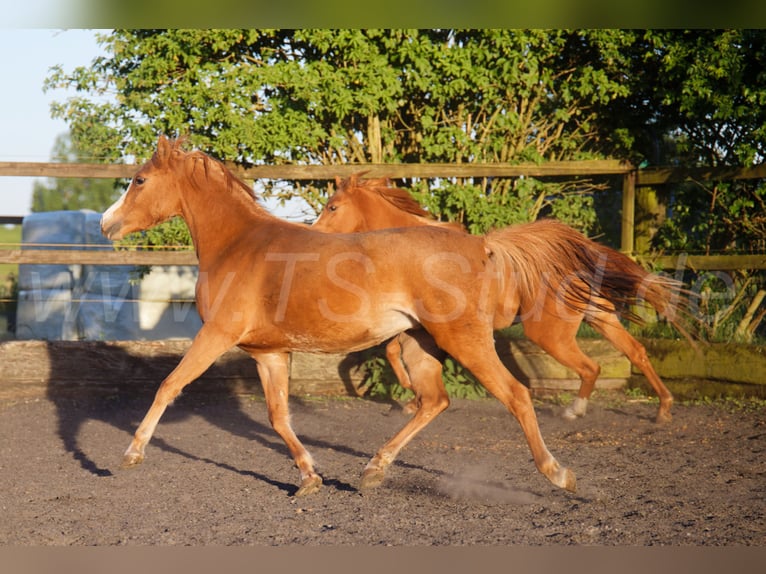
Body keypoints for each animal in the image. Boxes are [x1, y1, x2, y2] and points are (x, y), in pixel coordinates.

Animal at [101, 135, 581, 496]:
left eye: (140, 179)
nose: (107, 223)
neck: (239, 245)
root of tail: (480, 244)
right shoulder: (269, 353)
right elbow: (278, 416)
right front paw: (309, 478)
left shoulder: (217, 335)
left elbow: (169, 385)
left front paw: (130, 455)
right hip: (419, 343)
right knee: (434, 401)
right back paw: (373, 470)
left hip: (463, 339)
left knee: (516, 394)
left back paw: (558, 473)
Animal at [313, 173, 692, 423]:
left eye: (333, 206)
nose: (313, 235)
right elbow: (390, 350)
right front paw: (410, 395)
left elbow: (389, 351)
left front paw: (409, 395)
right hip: (599, 315)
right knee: (635, 352)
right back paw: (664, 408)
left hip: (551, 334)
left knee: (591, 366)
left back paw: (574, 411)